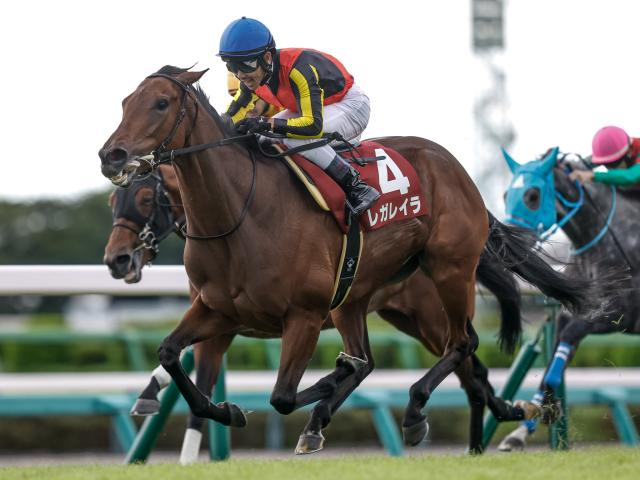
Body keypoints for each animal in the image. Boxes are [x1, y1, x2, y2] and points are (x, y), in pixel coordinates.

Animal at [105, 163, 527, 459]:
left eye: (146, 200)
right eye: (112, 202)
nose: (116, 260)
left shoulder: (226, 329)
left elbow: (198, 393)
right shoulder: (216, 317)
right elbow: (171, 362)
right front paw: (148, 394)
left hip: (430, 314)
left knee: (467, 356)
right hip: (397, 316)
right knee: (464, 368)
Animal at [498, 147, 635, 451]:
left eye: (533, 195)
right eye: (505, 195)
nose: (506, 244)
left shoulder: (623, 313)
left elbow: (571, 334)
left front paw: (548, 407)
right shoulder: (574, 309)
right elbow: (560, 343)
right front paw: (526, 424)